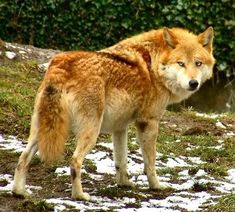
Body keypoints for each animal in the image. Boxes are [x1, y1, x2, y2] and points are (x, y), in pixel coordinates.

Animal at [12, 26, 215, 200]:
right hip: (90, 133)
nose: (193, 83)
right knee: (74, 161)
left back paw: (19, 193)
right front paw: (156, 186)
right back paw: (80, 196)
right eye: (181, 64)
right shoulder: (148, 122)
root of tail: (61, 64)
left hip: (41, 131)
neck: (153, 64)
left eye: (198, 63)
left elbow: (121, 161)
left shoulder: (120, 127)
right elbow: (150, 163)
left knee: (22, 158)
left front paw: (124, 184)